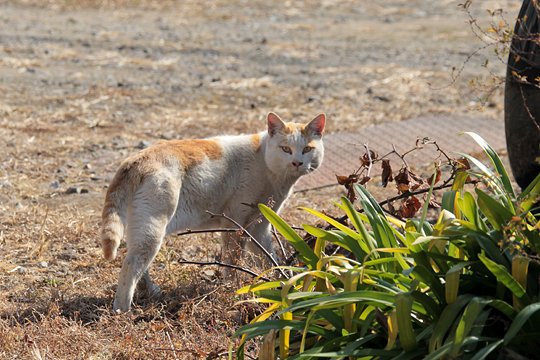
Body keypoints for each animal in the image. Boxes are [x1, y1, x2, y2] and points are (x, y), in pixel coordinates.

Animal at [103, 112, 326, 312]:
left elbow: (270, 258)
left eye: (307, 149)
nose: (297, 162)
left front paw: (285, 284)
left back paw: (150, 291)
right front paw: (234, 290)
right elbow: (233, 262)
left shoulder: (259, 227)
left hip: (143, 229)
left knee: (137, 261)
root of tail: (137, 159)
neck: (265, 162)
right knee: (131, 265)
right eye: (286, 149)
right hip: (152, 229)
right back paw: (122, 311)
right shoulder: (235, 225)